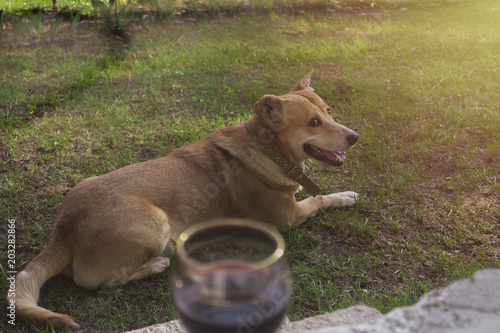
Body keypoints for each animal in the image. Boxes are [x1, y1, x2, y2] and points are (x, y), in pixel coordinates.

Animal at [8, 70, 360, 326]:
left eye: (329, 112)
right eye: (313, 122)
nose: (355, 136)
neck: (266, 148)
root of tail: (63, 233)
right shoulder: (286, 218)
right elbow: (320, 199)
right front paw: (344, 196)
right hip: (154, 223)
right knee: (98, 282)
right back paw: (158, 263)